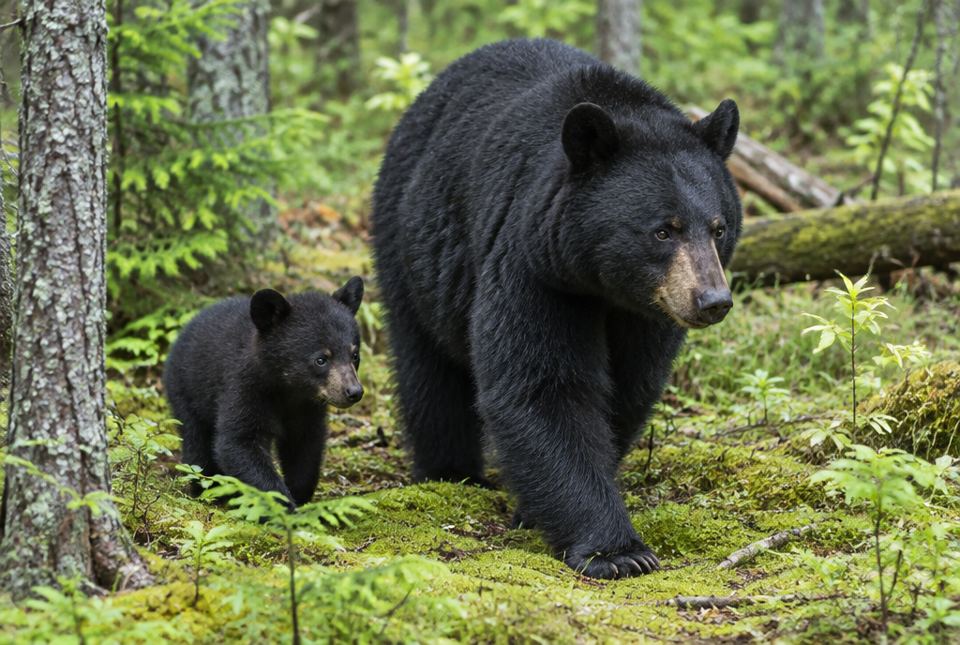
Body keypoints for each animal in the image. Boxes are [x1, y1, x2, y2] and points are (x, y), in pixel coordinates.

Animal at [163, 278, 365, 507]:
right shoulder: (244, 388)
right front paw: (284, 505)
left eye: (354, 355)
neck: (287, 389)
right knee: (197, 445)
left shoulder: (307, 408)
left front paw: (299, 495)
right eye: (321, 359)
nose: (354, 391)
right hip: (186, 391)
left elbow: (305, 446)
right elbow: (238, 442)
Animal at [371, 39, 741, 578]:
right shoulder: (534, 267)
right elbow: (544, 388)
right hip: (409, 243)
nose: (712, 301)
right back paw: (451, 473)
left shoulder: (646, 313)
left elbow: (628, 389)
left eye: (718, 227)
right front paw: (618, 551)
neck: (604, 284)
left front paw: (540, 510)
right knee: (428, 369)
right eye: (662, 230)